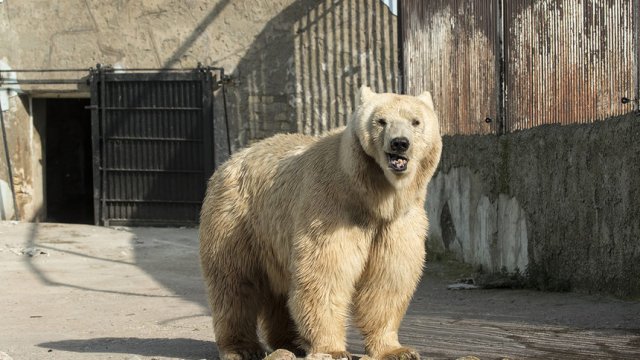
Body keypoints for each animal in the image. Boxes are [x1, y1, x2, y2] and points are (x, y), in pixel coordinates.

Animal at [199, 86, 440, 360]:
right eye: (381, 121)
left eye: (415, 121)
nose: (399, 143)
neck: (374, 197)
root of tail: (231, 159)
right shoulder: (331, 209)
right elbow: (325, 274)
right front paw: (333, 350)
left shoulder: (397, 223)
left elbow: (387, 280)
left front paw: (398, 350)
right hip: (237, 219)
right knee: (235, 283)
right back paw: (242, 348)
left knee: (278, 290)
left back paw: (290, 342)